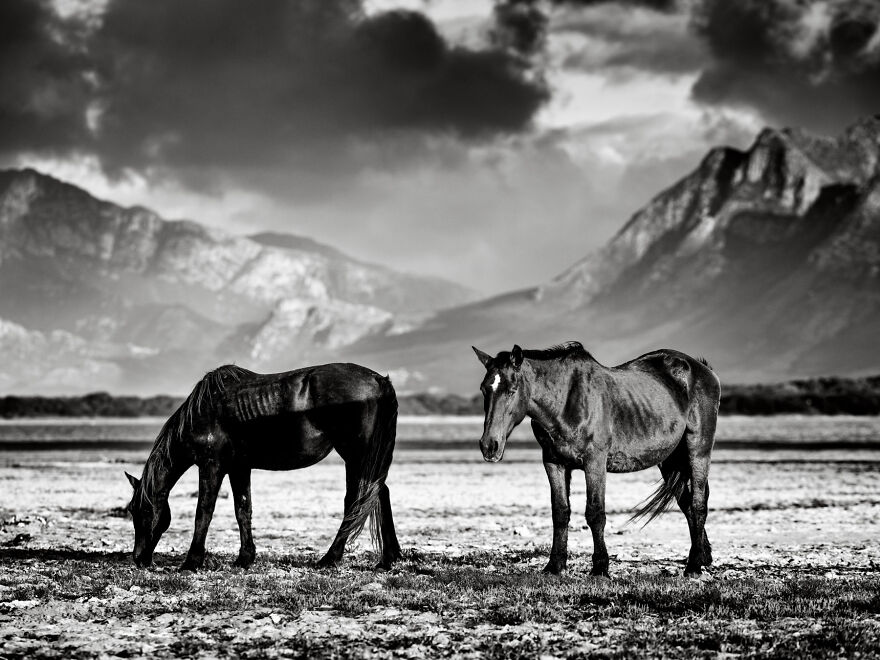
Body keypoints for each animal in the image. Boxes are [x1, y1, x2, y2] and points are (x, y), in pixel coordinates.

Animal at [124, 362, 401, 571]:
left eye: (142, 510)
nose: (138, 558)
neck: (204, 412)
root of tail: (378, 380)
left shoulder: (211, 465)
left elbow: (203, 512)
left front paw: (192, 562)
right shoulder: (238, 467)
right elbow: (243, 509)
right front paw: (245, 558)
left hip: (356, 455)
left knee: (357, 501)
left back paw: (329, 559)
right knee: (379, 494)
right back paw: (388, 559)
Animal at [472, 342, 720, 577]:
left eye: (512, 390)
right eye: (484, 389)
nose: (489, 446)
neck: (565, 402)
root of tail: (703, 369)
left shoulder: (595, 462)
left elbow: (595, 513)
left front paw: (600, 567)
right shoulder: (553, 463)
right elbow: (560, 512)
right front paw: (554, 565)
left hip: (698, 450)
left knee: (698, 504)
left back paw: (694, 566)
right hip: (669, 461)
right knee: (687, 505)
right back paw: (702, 557)